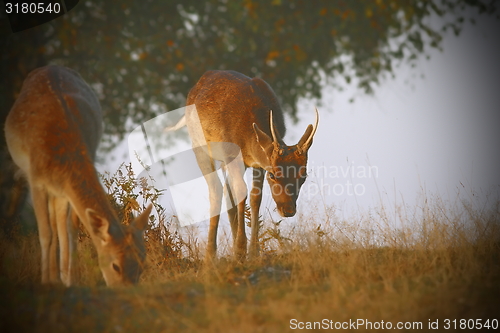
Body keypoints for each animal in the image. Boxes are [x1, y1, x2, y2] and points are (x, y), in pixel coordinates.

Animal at [4, 65, 151, 286]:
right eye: (115, 265)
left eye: (142, 265)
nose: (126, 290)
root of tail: (49, 66)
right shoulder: (35, 179)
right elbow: (45, 233)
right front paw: (46, 282)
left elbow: (71, 229)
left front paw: (70, 280)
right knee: (52, 226)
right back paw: (52, 277)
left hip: (60, 191)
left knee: (60, 224)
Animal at [172, 70, 320, 260]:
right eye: (273, 174)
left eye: (303, 177)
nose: (288, 211)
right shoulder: (232, 155)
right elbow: (241, 192)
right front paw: (240, 250)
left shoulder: (257, 164)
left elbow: (255, 197)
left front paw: (254, 251)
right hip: (199, 147)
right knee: (216, 189)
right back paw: (210, 255)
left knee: (227, 192)